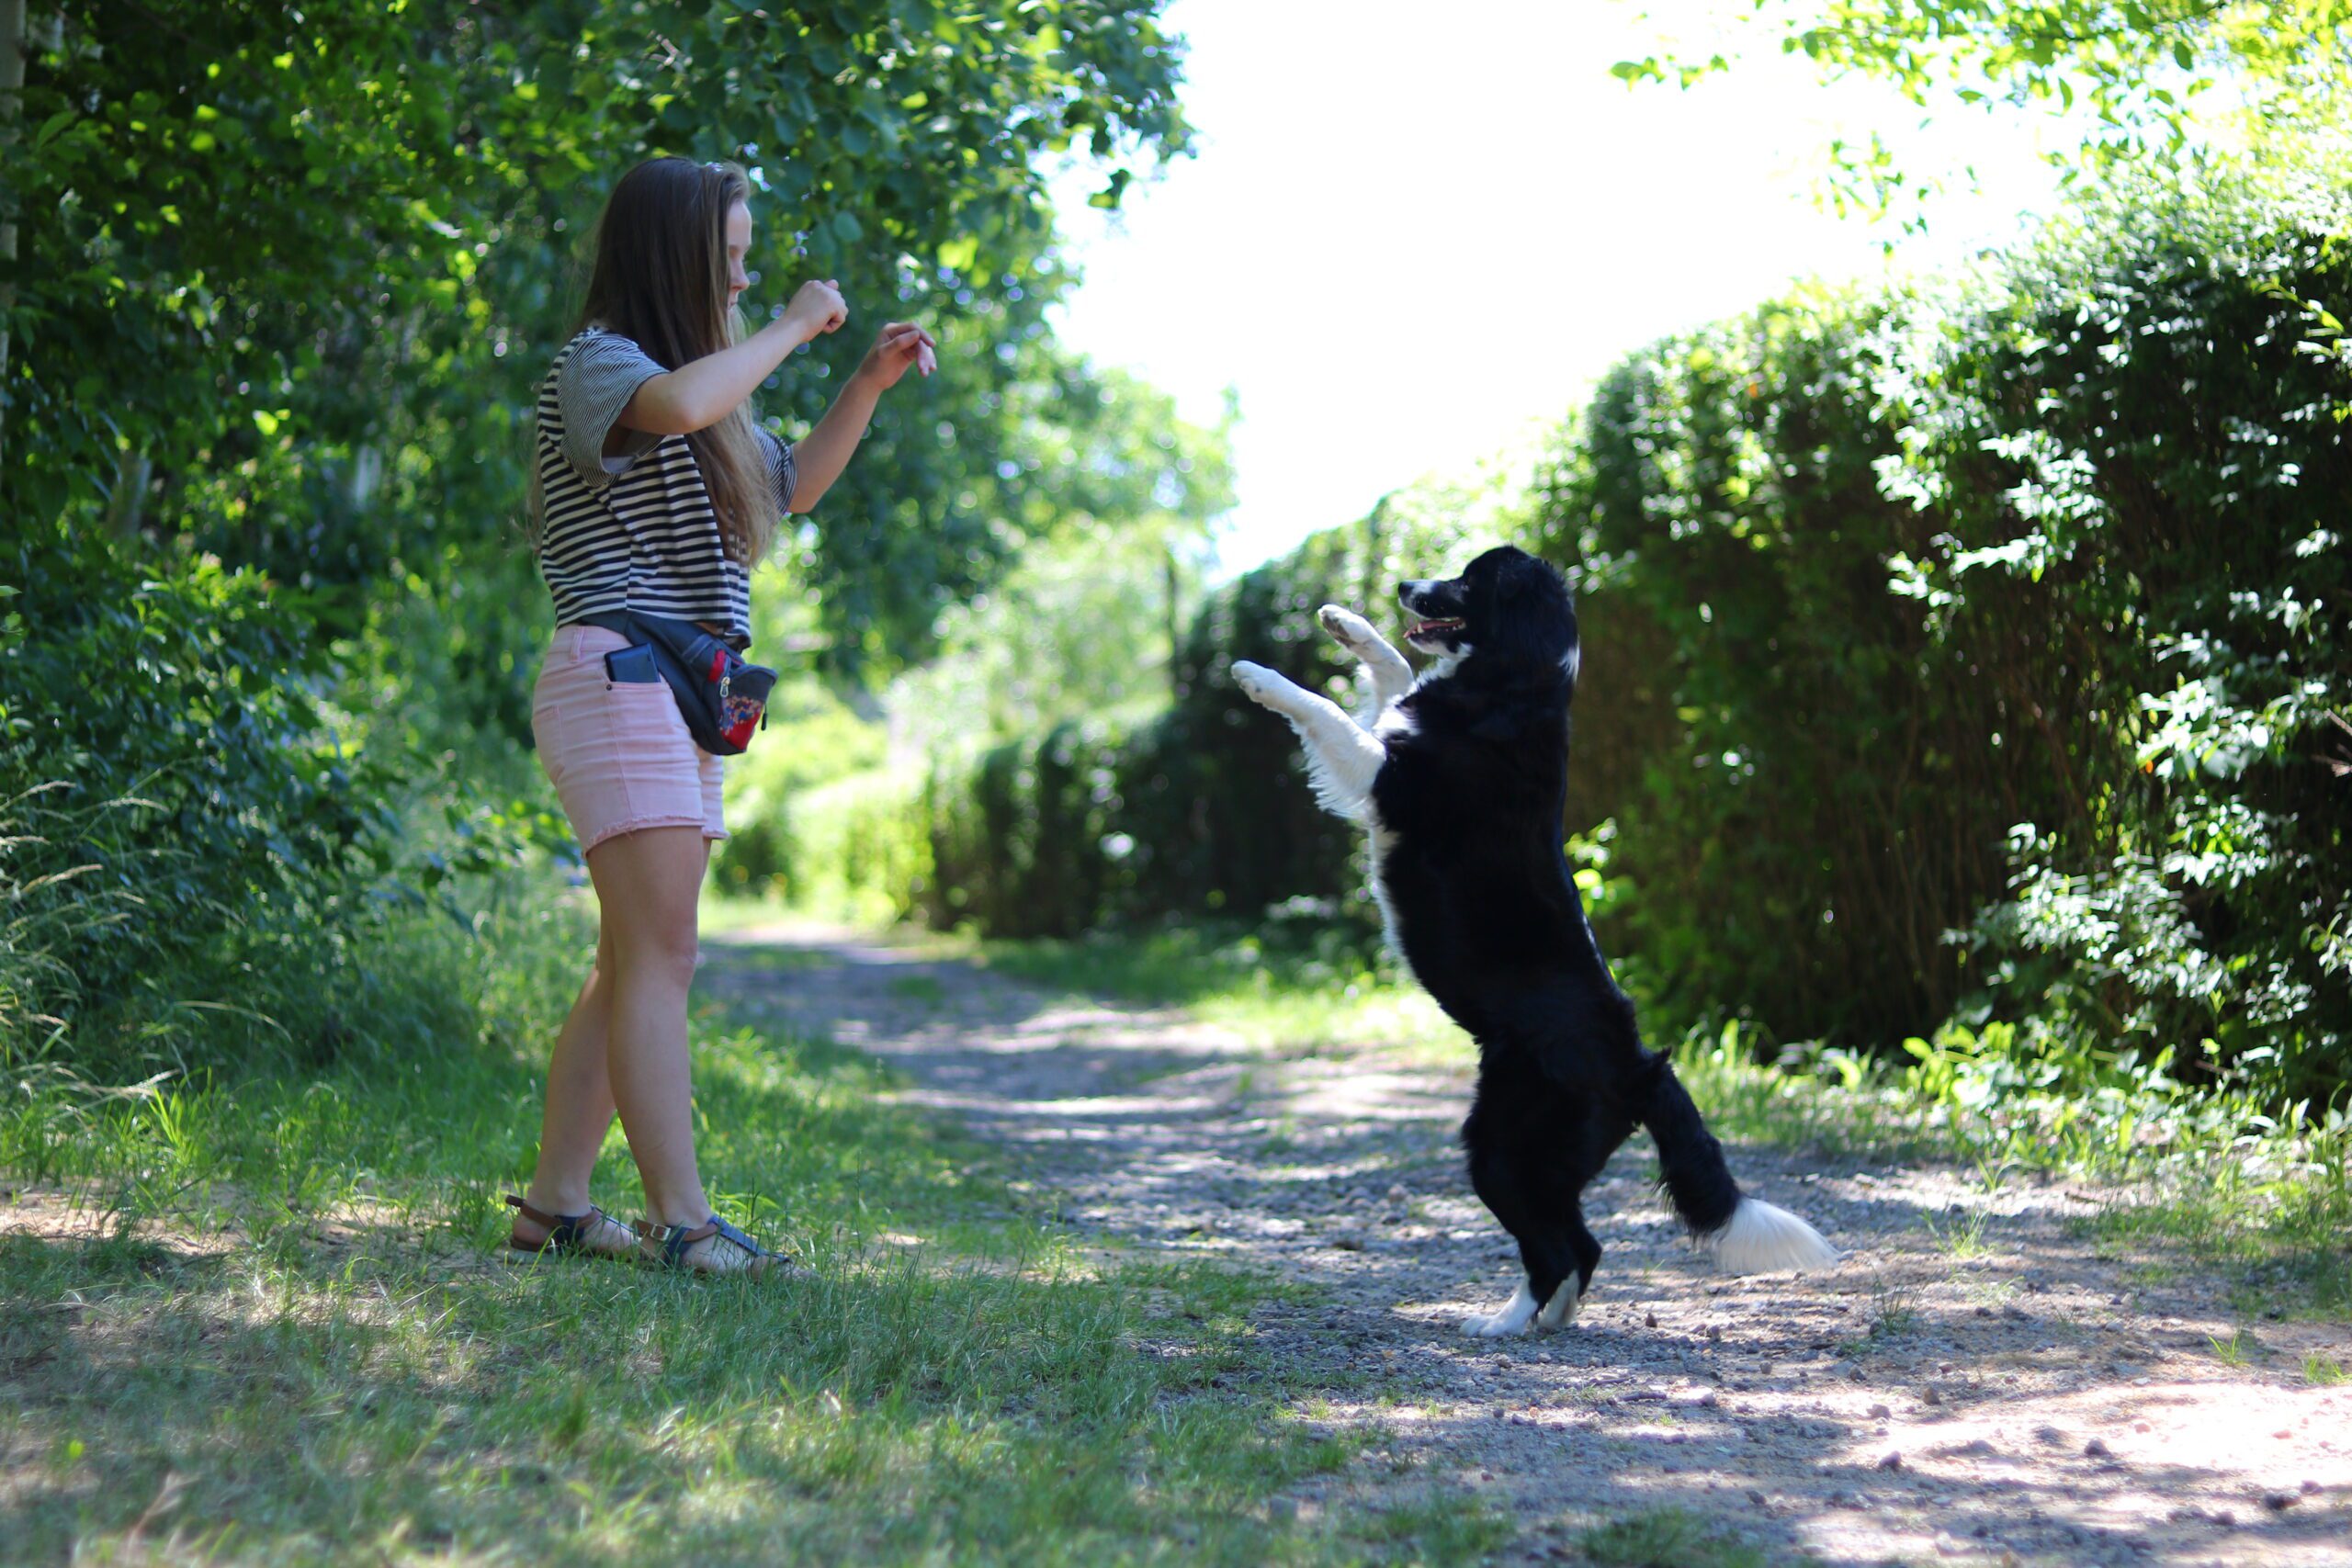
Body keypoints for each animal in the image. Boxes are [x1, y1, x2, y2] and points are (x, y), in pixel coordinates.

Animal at [1231, 545, 1837, 1336]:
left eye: (1468, 579)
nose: (1403, 583)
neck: (1517, 681)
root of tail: (1639, 1062)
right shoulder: (1389, 739)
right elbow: (1393, 670)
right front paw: (1346, 623)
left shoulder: (1387, 774)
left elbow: (1328, 706)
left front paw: (1259, 676)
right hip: (1531, 1155)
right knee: (1579, 1241)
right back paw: (1537, 1318)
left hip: (1504, 1148)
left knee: (1559, 1244)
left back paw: (1507, 1326)